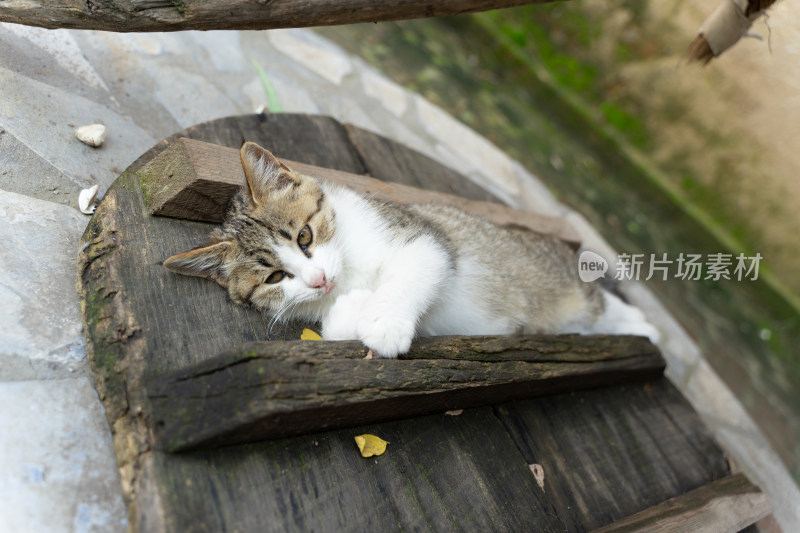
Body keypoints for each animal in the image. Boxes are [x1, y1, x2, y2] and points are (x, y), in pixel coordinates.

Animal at [161, 141, 656, 358]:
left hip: (566, 291)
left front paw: (384, 321)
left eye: (304, 236)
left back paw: (640, 324)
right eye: (274, 278)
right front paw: (350, 311)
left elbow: (416, 268)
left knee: (596, 303)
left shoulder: (426, 236)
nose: (319, 280)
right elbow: (338, 323)